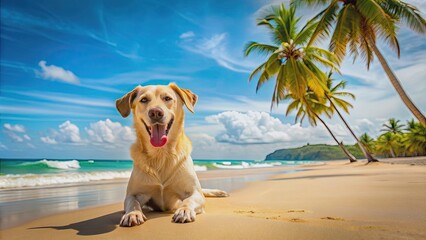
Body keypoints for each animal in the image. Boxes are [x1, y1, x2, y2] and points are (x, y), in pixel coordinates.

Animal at [115, 83, 228, 226]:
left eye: (167, 98)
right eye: (144, 100)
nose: (155, 112)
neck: (161, 154)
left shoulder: (194, 192)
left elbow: (189, 200)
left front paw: (184, 210)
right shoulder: (133, 194)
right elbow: (132, 202)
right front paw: (133, 214)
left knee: (203, 191)